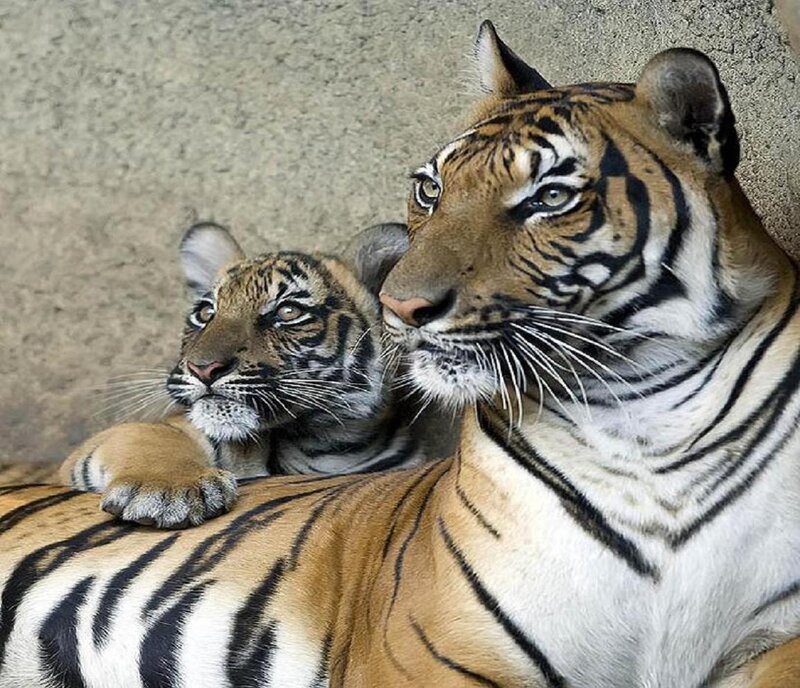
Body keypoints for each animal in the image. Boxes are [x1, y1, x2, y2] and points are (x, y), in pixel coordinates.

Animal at [55, 220, 437, 528]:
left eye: (287, 312)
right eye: (205, 313)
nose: (202, 367)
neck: (313, 445)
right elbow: (150, 440)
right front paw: (167, 491)